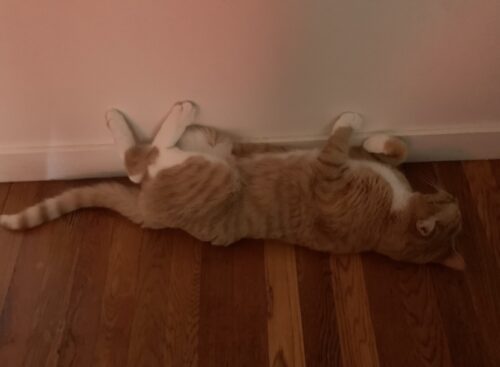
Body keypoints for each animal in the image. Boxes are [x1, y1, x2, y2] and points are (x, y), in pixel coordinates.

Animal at [0, 103, 462, 270]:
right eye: (449, 198)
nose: (450, 192)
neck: (392, 215)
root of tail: (148, 213)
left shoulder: (330, 185)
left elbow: (337, 143)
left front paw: (351, 122)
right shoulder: (366, 167)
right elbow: (397, 148)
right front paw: (374, 137)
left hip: (212, 174)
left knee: (141, 163)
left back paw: (168, 115)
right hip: (215, 144)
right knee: (144, 159)